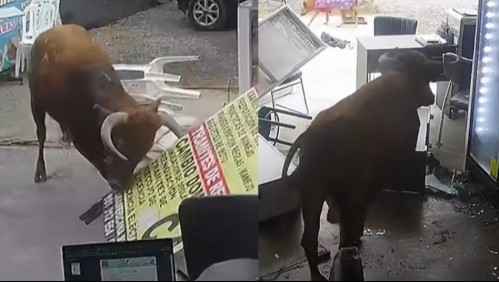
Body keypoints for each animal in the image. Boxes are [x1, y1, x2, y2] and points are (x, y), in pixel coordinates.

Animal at [29, 24, 187, 192]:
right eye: (120, 142)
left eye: (146, 147)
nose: (120, 184)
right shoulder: (82, 139)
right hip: (35, 103)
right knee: (41, 134)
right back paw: (40, 170)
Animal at [284, 49, 444, 280]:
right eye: (424, 74)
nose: (431, 97)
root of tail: (312, 136)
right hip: (340, 192)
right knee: (343, 230)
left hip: (312, 193)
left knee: (309, 238)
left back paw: (318, 274)